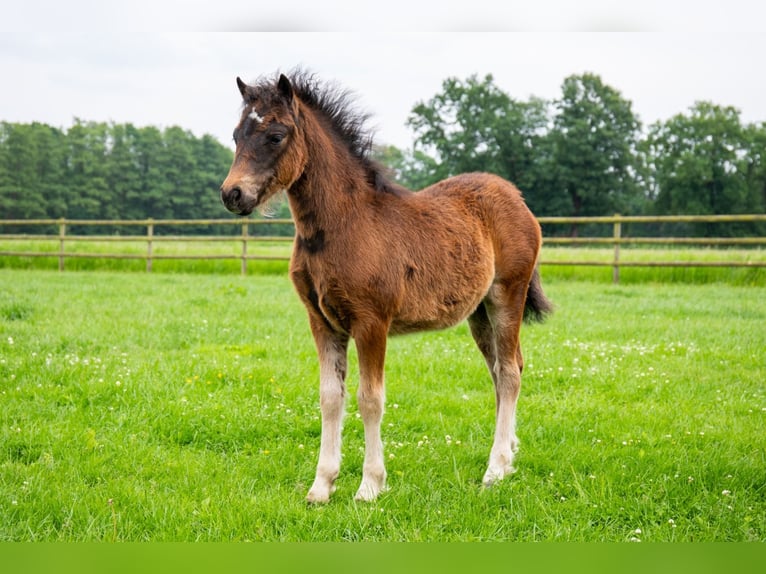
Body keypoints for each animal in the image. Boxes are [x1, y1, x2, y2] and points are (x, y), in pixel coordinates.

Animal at [222, 72, 552, 504]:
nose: (232, 194)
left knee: (510, 373)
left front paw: (370, 485)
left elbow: (370, 399)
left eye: (276, 135)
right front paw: (321, 486)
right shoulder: (321, 322)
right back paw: (509, 454)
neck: (341, 225)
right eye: (235, 135)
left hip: (506, 294)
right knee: (503, 369)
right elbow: (331, 398)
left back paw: (494, 470)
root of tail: (516, 196)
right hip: (478, 312)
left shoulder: (371, 323)